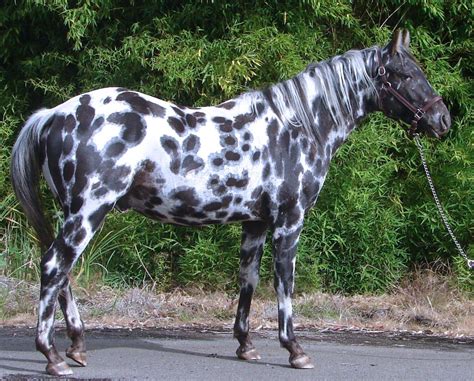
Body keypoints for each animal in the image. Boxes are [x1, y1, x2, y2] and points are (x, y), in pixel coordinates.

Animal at [9, 29, 450, 374]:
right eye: (406, 74)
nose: (442, 120)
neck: (297, 127)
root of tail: (54, 114)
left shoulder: (255, 223)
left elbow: (247, 280)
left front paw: (246, 345)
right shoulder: (289, 221)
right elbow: (284, 282)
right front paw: (295, 349)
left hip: (72, 213)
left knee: (63, 275)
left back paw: (77, 347)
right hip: (87, 212)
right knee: (54, 267)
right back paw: (53, 356)